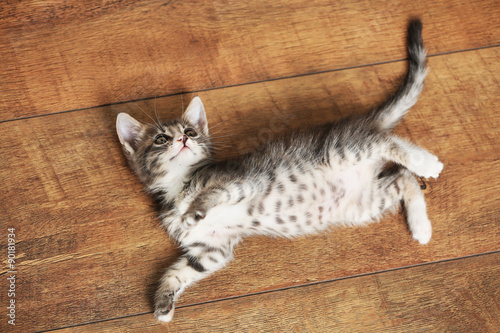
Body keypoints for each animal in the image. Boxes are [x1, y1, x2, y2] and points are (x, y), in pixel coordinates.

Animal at [116, 20, 442, 322]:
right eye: (161, 139)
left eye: (191, 132)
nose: (183, 140)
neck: (180, 187)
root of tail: (359, 125)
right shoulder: (212, 249)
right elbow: (180, 270)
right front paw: (163, 301)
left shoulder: (242, 182)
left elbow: (212, 193)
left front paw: (196, 210)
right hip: (362, 204)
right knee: (404, 178)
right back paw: (421, 227)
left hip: (340, 150)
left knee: (388, 143)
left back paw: (427, 163)